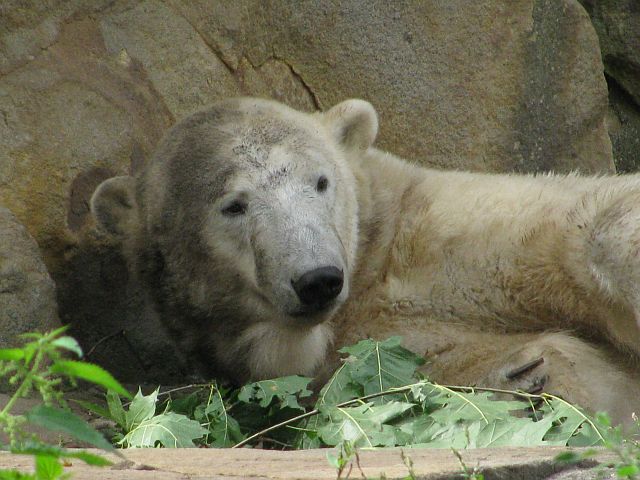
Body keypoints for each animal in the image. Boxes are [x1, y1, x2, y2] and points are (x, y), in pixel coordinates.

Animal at [91, 97, 640, 426]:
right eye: (233, 205)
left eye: (319, 181)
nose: (318, 280)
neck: (369, 277)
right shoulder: (343, 363)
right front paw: (524, 375)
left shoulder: (446, 224)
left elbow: (582, 226)